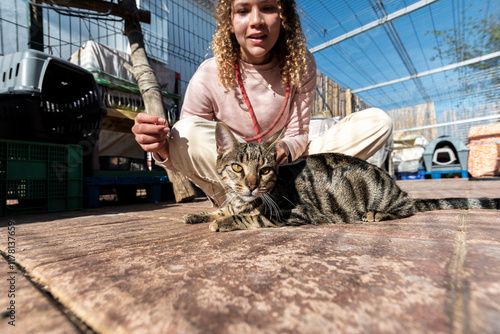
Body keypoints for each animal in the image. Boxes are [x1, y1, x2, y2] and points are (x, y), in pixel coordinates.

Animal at [184, 122, 500, 232]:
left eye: (264, 170)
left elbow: (249, 218)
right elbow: (223, 208)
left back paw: (376, 214)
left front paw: (224, 222)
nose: (251, 185)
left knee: (407, 208)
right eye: (238, 167)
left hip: (385, 195)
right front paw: (199, 214)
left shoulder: (295, 212)